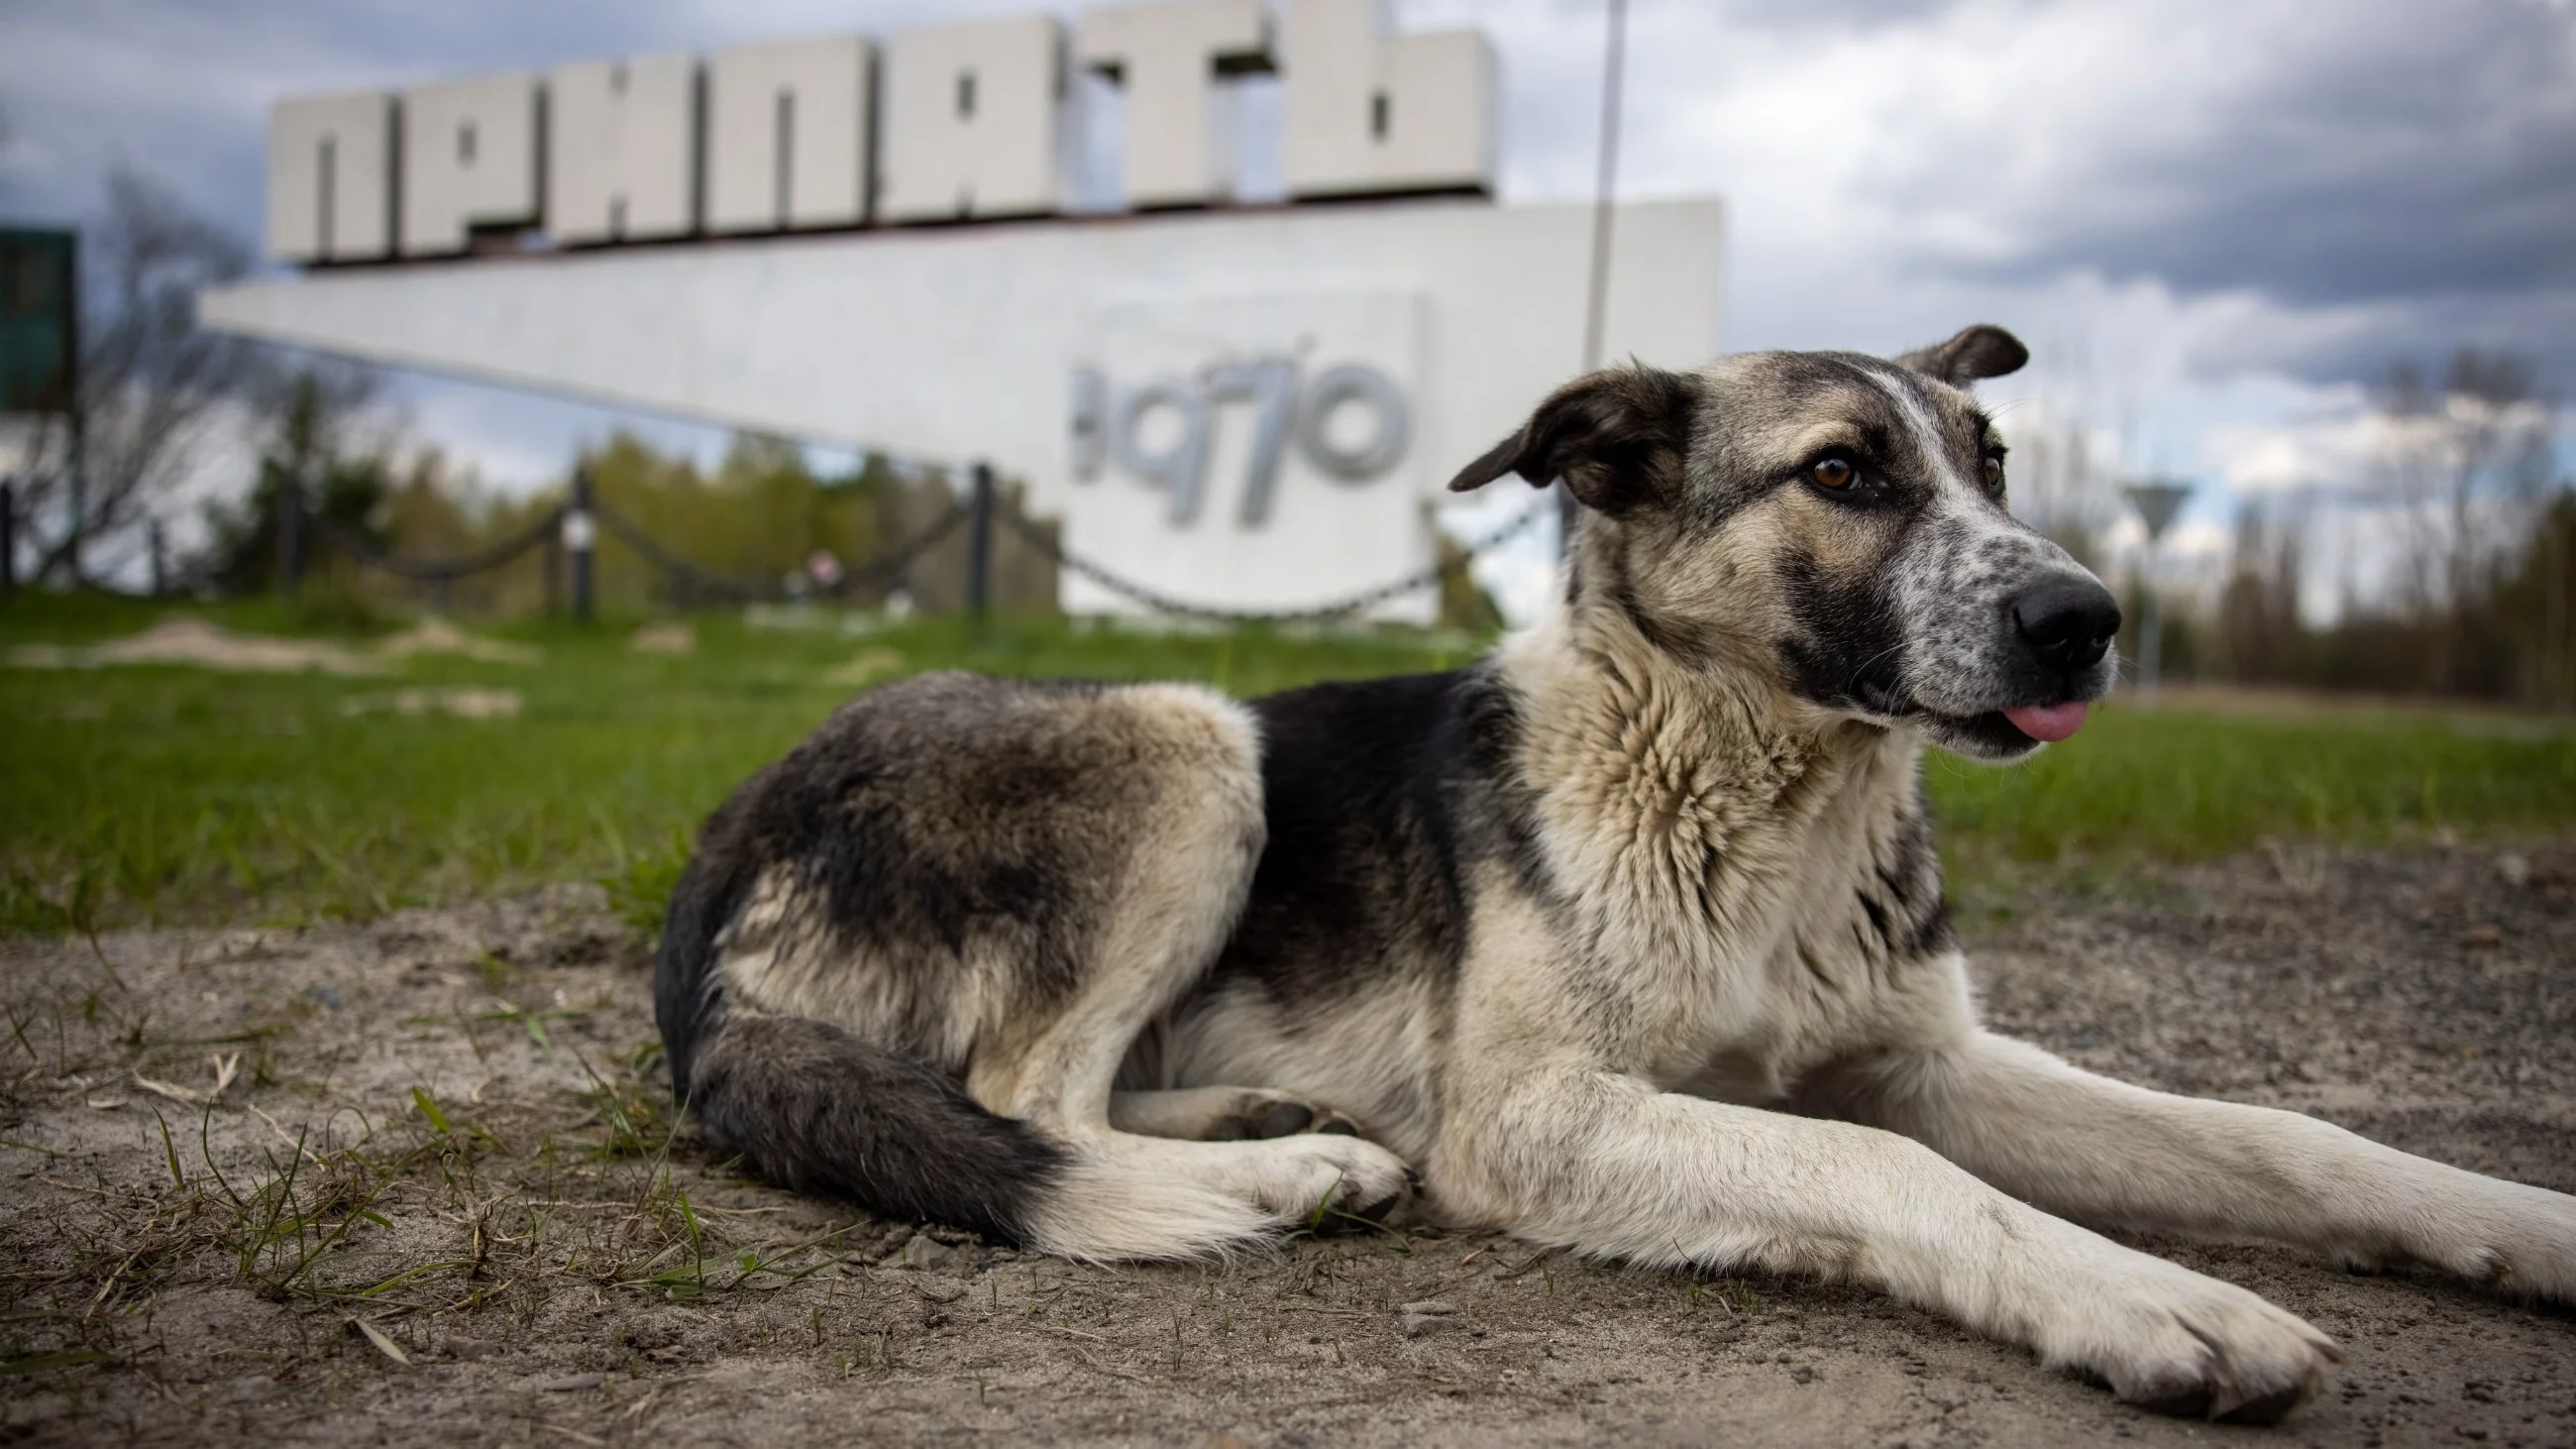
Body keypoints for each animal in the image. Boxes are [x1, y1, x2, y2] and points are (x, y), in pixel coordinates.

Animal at [659, 324, 2576, 1412]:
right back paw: (1279, 1175)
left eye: (1992, 463)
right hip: (1196, 744)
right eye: (1842, 472)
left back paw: (1276, 1126)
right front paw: (2154, 1297)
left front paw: (2520, 1223)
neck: (1770, 799)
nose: (2088, 619)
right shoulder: (1539, 1114)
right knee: (1019, 1094)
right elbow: (1882, 1170)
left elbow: (2282, 1134)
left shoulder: (1922, 1058)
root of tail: (725, 833)